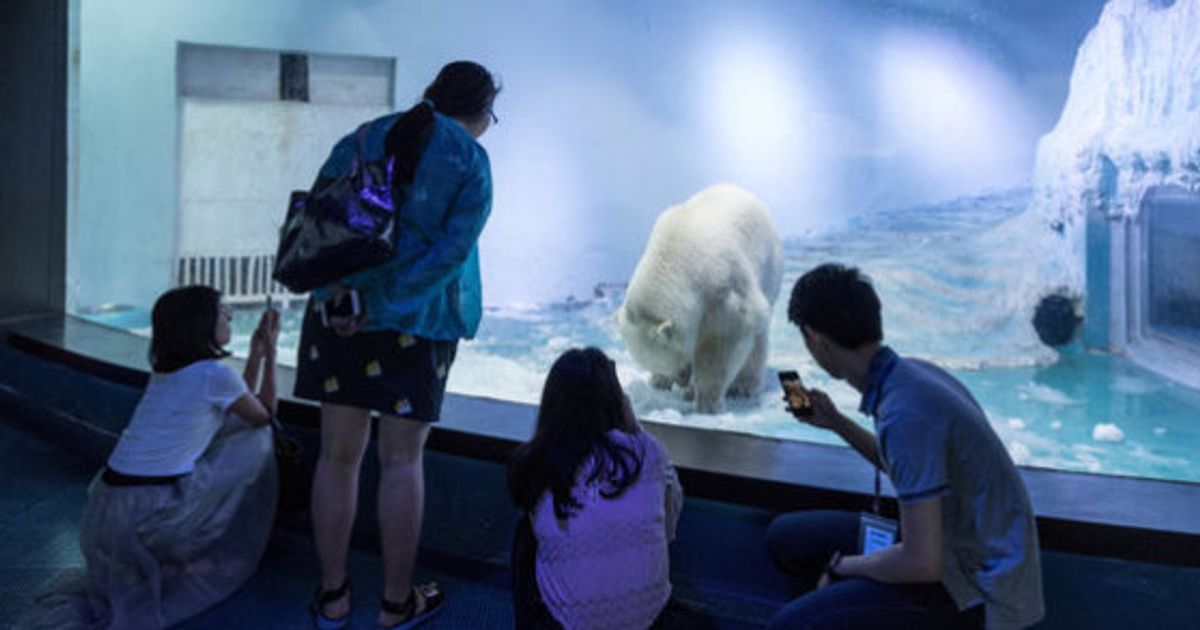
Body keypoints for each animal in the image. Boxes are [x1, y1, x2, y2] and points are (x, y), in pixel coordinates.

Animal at [614, 181, 782, 412]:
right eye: (667, 366)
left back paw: (744, 387)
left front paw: (706, 402)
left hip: (768, 270)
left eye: (681, 365)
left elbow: (723, 340)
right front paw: (658, 381)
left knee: (758, 333)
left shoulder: (720, 290)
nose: (682, 379)